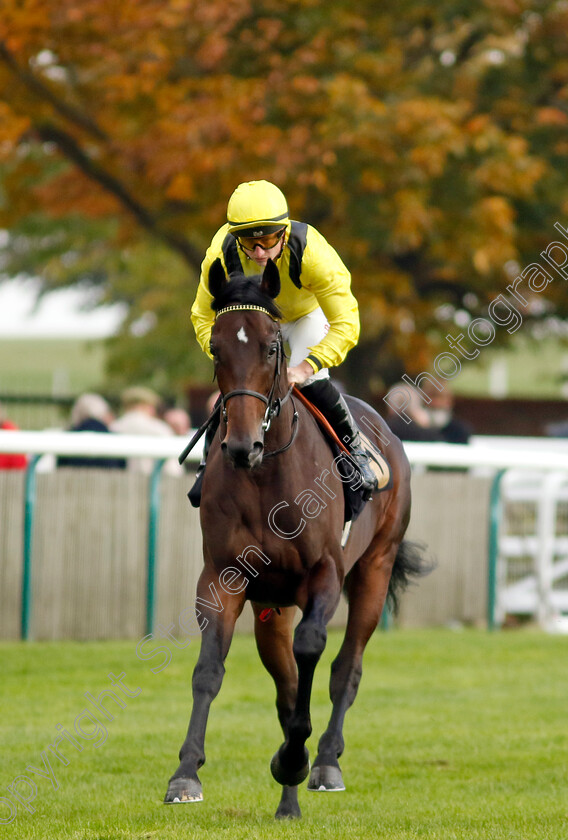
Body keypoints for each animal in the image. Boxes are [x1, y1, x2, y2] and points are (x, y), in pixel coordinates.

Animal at [164, 258, 426, 820]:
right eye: (217, 348)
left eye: (270, 347)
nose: (242, 446)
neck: (266, 476)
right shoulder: (223, 577)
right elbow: (209, 669)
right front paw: (186, 774)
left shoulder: (324, 573)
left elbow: (314, 649)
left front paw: (297, 758)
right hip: (272, 607)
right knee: (286, 685)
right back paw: (288, 799)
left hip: (375, 567)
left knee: (346, 667)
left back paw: (322, 762)